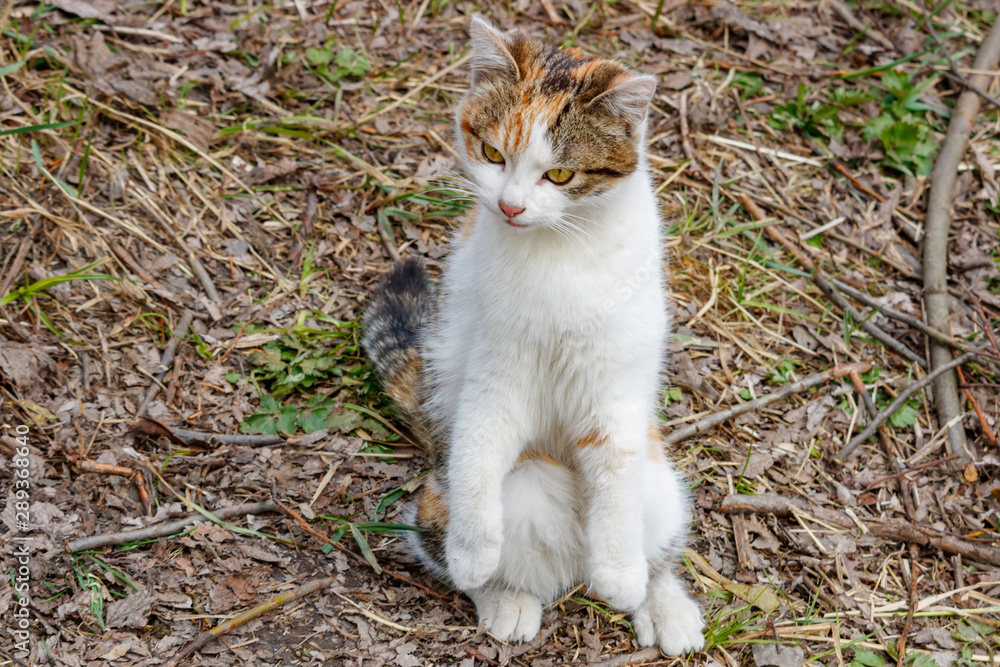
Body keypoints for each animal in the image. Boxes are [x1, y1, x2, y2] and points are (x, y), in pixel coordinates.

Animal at [362, 17, 704, 656]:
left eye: (561, 174)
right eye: (492, 153)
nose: (511, 206)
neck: (558, 250)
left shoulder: (614, 387)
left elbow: (615, 472)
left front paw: (621, 574)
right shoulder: (495, 372)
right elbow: (479, 447)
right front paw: (475, 551)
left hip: (661, 487)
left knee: (659, 547)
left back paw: (662, 604)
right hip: (457, 485)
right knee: (438, 539)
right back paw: (503, 597)